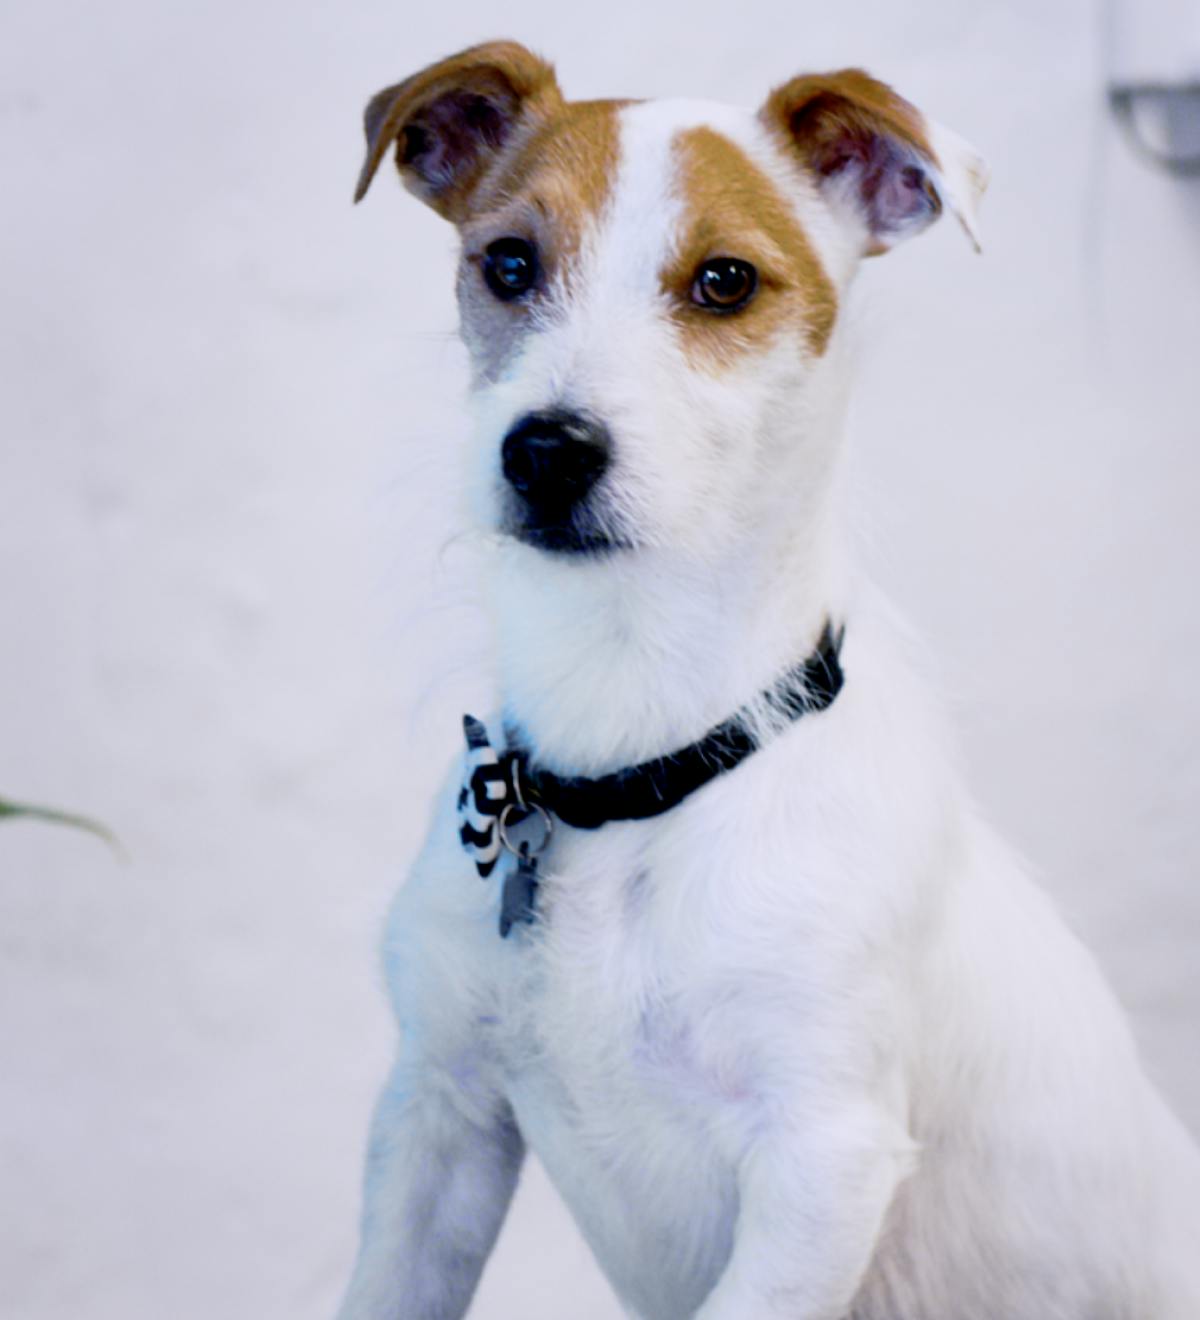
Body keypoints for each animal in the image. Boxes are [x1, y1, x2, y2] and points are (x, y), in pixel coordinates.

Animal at [335, 41, 1198, 1320]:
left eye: (726, 281)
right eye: (509, 262)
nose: (546, 450)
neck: (634, 758)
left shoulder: (820, 1166)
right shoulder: (437, 1114)